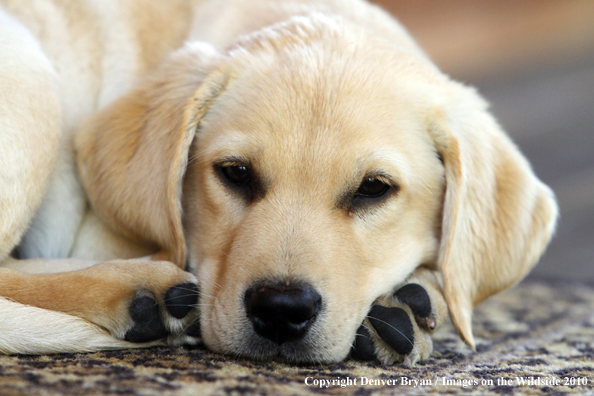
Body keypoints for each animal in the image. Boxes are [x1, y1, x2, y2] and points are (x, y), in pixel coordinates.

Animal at [0, 0, 556, 366]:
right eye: (236, 173)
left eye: (374, 188)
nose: (282, 311)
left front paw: (414, 303)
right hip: (35, 80)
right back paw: (140, 291)